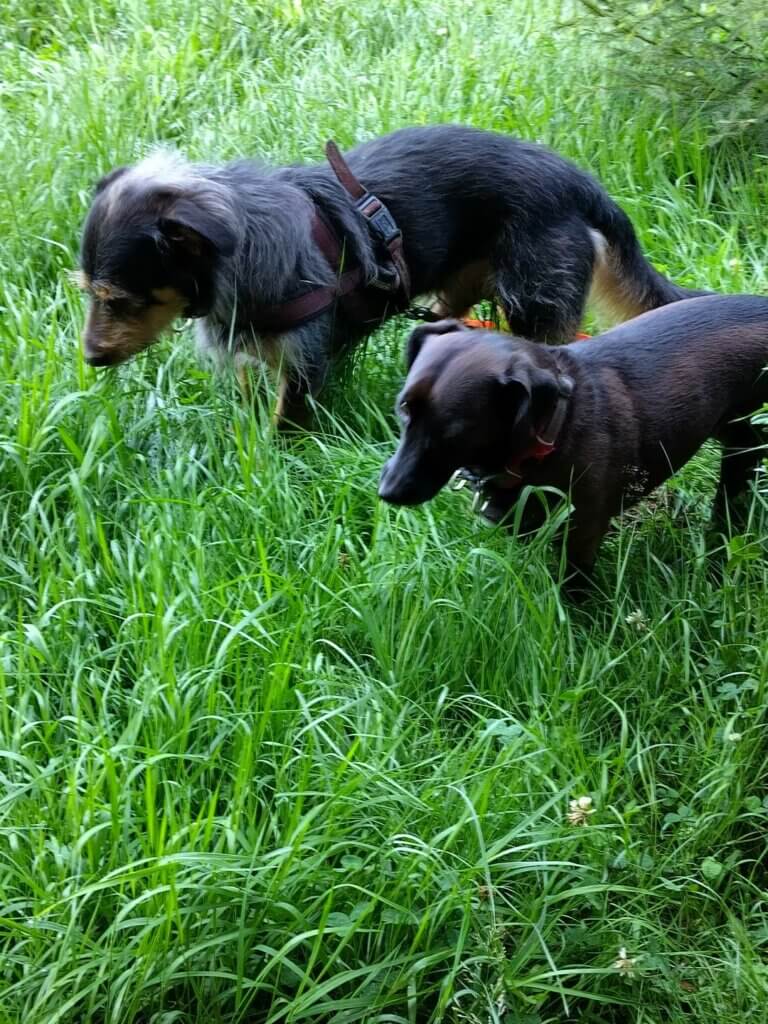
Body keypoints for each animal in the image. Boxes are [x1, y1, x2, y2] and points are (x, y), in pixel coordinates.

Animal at [77, 124, 703, 427]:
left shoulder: (305, 366)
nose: (90, 359)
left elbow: (285, 425)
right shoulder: (254, 356)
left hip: (536, 299)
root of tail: (582, 184)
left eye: (119, 298)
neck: (244, 245)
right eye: (88, 293)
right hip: (463, 283)